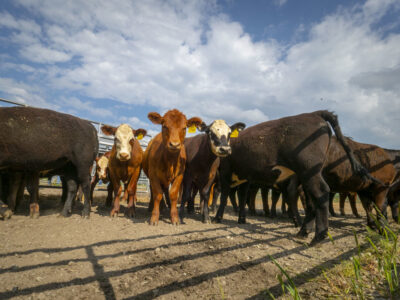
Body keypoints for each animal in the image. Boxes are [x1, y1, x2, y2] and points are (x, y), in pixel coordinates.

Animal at [216, 110, 372, 244]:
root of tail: (314, 113)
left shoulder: (225, 171)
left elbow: (224, 194)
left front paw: (218, 217)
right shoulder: (245, 177)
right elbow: (242, 196)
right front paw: (241, 218)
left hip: (309, 170)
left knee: (321, 193)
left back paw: (318, 236)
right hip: (307, 175)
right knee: (311, 200)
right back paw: (303, 232)